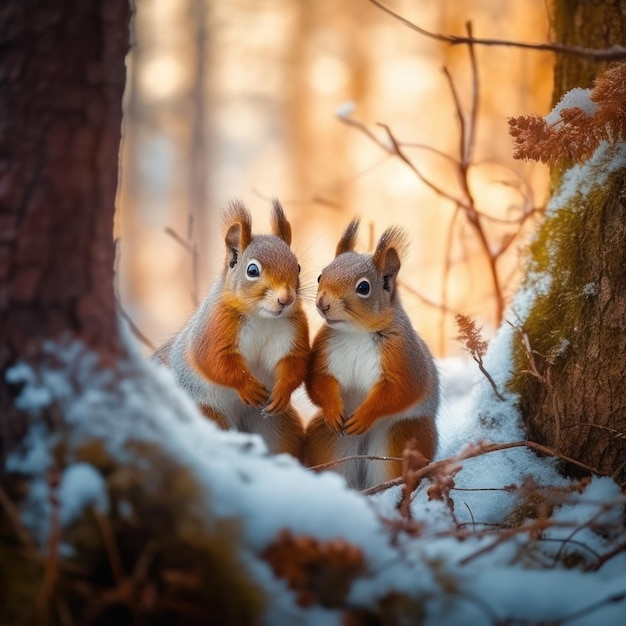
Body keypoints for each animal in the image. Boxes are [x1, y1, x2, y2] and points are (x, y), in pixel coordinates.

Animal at [154, 200, 310, 458]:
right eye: (252, 270)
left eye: (297, 266)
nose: (286, 299)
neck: (262, 317)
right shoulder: (215, 325)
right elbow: (214, 359)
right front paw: (247, 386)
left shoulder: (293, 328)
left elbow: (295, 362)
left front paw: (282, 391)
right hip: (206, 414)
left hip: (277, 425)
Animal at [304, 219, 438, 488]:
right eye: (321, 275)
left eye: (363, 287)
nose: (323, 303)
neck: (356, 332)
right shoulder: (323, 348)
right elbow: (317, 380)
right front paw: (333, 409)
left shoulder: (402, 354)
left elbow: (401, 389)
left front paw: (365, 415)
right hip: (326, 441)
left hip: (404, 436)